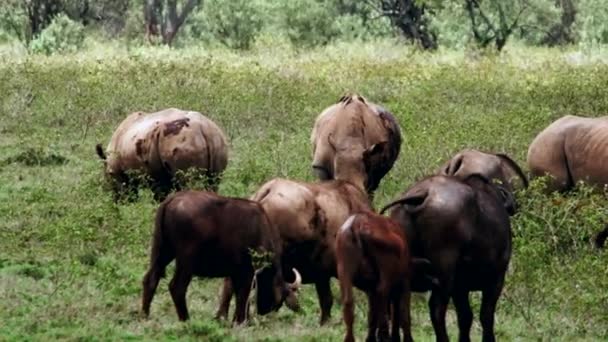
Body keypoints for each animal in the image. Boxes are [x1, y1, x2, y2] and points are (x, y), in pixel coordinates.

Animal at [138, 191, 300, 324]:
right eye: (279, 301)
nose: (264, 312)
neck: (261, 229)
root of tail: (173, 199)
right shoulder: (247, 272)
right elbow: (243, 295)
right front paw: (241, 321)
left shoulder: (235, 273)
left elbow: (235, 293)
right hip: (186, 260)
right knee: (177, 287)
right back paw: (186, 319)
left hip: (162, 251)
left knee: (150, 279)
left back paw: (145, 316)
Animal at [216, 179, 372, 326]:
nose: (263, 310)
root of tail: (268, 189)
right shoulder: (322, 273)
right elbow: (327, 300)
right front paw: (325, 323)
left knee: (231, 283)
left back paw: (224, 317)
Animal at [334, 211, 416, 342]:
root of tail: (358, 222)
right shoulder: (405, 281)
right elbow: (404, 313)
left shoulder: (370, 288)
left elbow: (372, 314)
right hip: (386, 272)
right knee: (382, 295)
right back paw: (384, 336)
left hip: (343, 269)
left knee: (348, 303)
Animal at [382, 175, 516, 340]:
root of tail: (423, 193)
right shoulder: (496, 279)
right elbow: (486, 315)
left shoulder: (460, 288)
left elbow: (465, 316)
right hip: (444, 274)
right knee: (436, 308)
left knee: (399, 309)